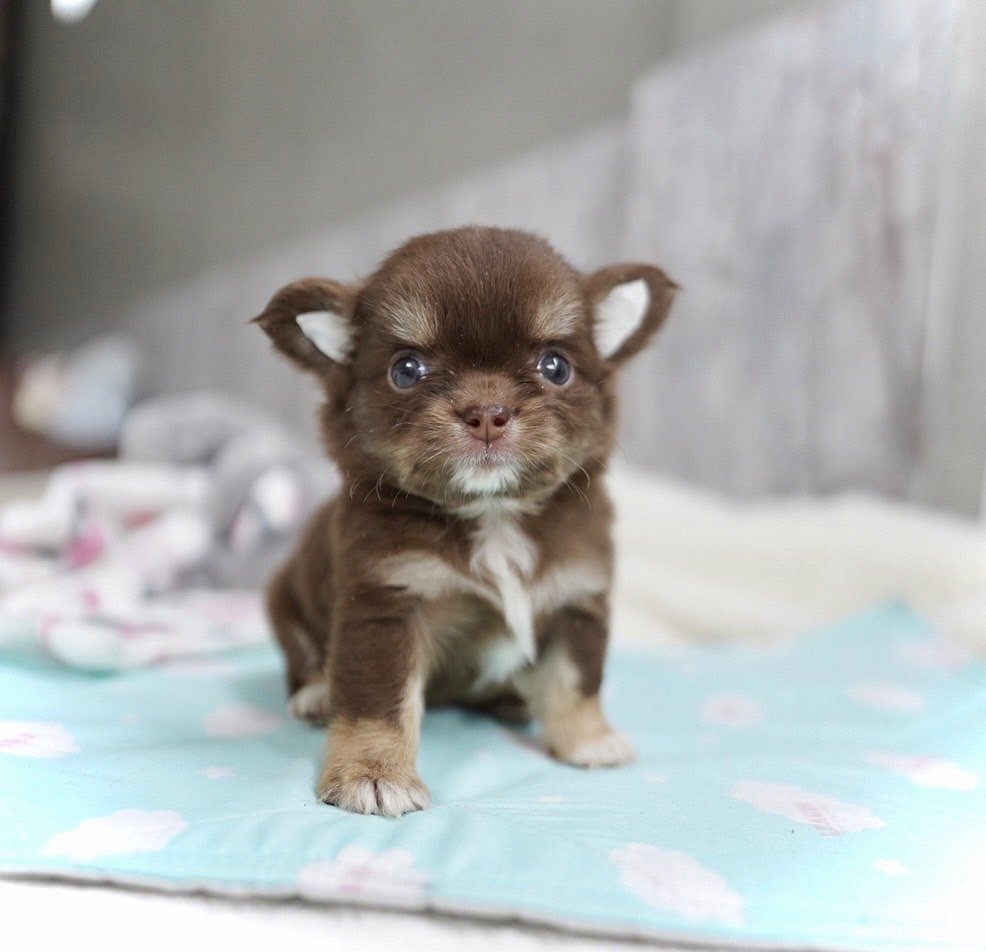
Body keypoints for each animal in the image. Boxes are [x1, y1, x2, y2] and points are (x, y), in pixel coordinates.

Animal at [254, 226, 676, 816]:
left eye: (555, 367)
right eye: (406, 370)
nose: (487, 413)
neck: (493, 512)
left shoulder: (576, 599)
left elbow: (575, 679)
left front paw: (587, 739)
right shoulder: (385, 604)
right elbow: (377, 703)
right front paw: (373, 774)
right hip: (284, 601)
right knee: (303, 661)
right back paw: (315, 694)